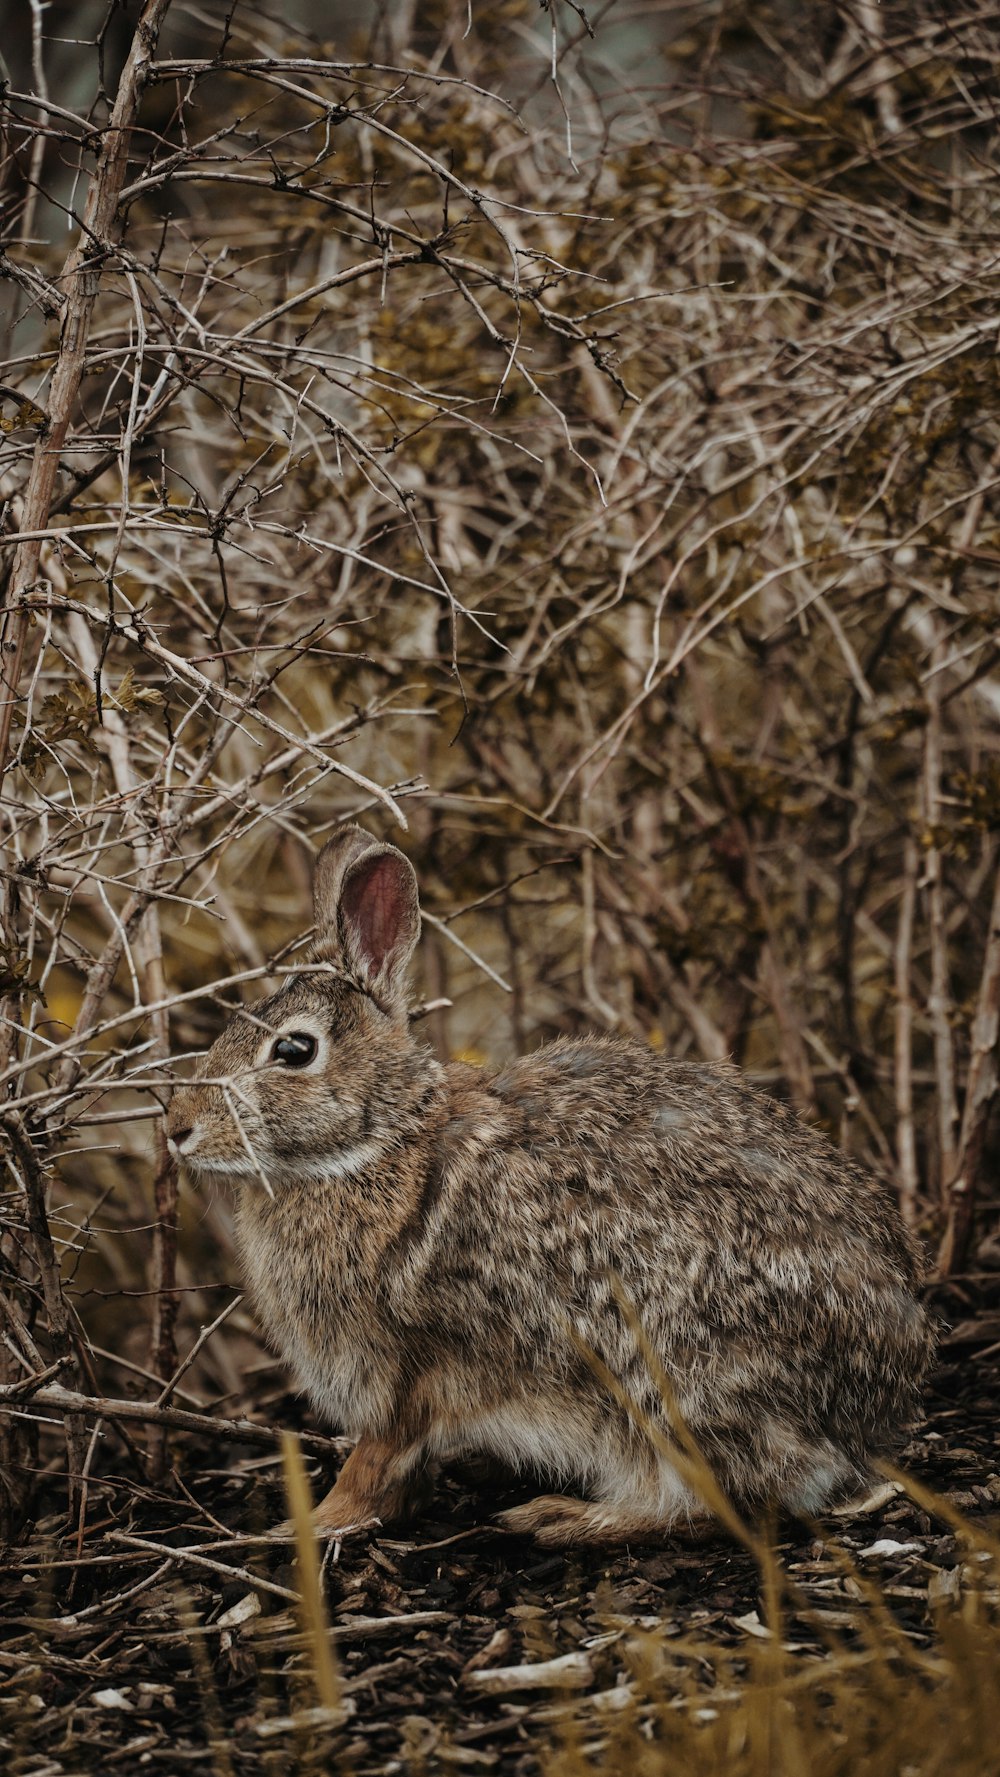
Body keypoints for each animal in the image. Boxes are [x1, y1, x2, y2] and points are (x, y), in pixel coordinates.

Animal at [167, 828, 937, 1542]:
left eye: (294, 1050)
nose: (177, 1126)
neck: (379, 1142)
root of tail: (873, 1406)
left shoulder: (404, 1372)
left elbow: (376, 1460)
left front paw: (309, 1525)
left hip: (665, 1377)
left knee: (717, 1497)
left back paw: (564, 1517)